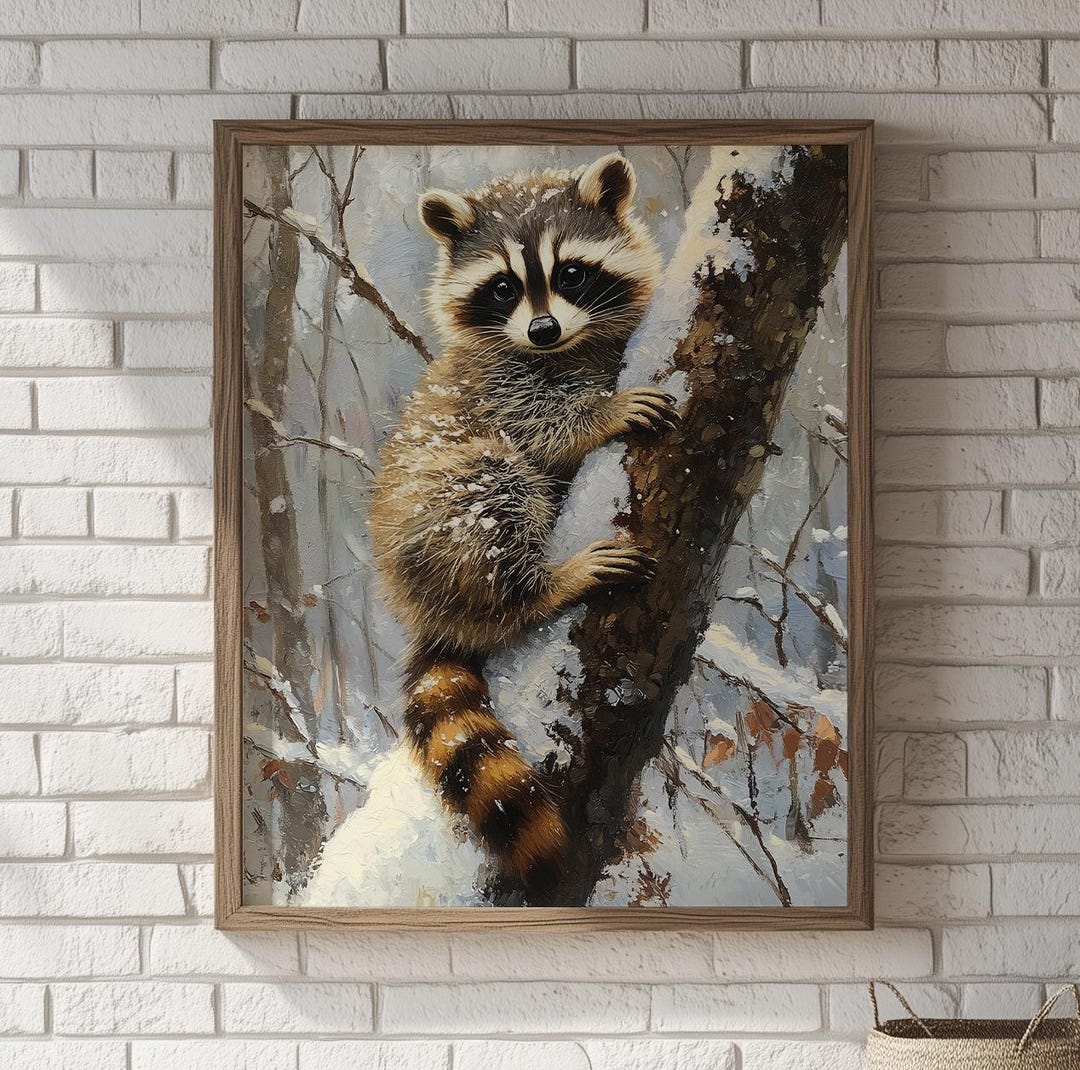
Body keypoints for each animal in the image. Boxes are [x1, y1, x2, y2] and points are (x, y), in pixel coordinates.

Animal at [368, 152, 675, 893]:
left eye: (571, 273)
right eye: (504, 287)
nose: (542, 330)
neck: (564, 351)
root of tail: (427, 609)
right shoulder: (495, 385)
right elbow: (537, 431)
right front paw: (598, 415)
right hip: (440, 522)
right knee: (494, 485)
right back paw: (544, 585)